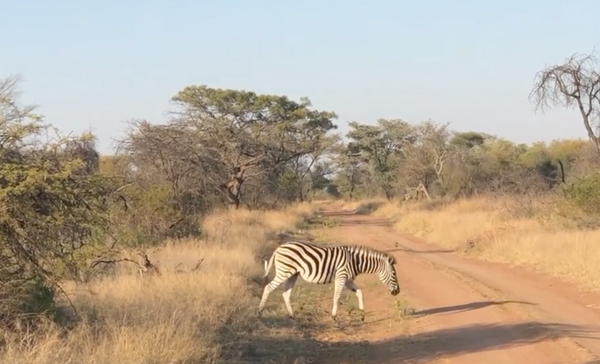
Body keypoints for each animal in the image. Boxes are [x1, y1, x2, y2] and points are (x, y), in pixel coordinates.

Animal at [256, 242, 400, 322]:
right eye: (394, 274)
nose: (397, 292)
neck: (355, 261)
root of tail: (279, 248)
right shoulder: (341, 276)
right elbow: (337, 297)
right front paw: (334, 317)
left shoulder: (348, 280)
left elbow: (359, 293)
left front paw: (362, 315)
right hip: (284, 272)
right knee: (268, 287)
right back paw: (260, 312)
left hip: (293, 274)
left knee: (286, 293)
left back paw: (292, 315)